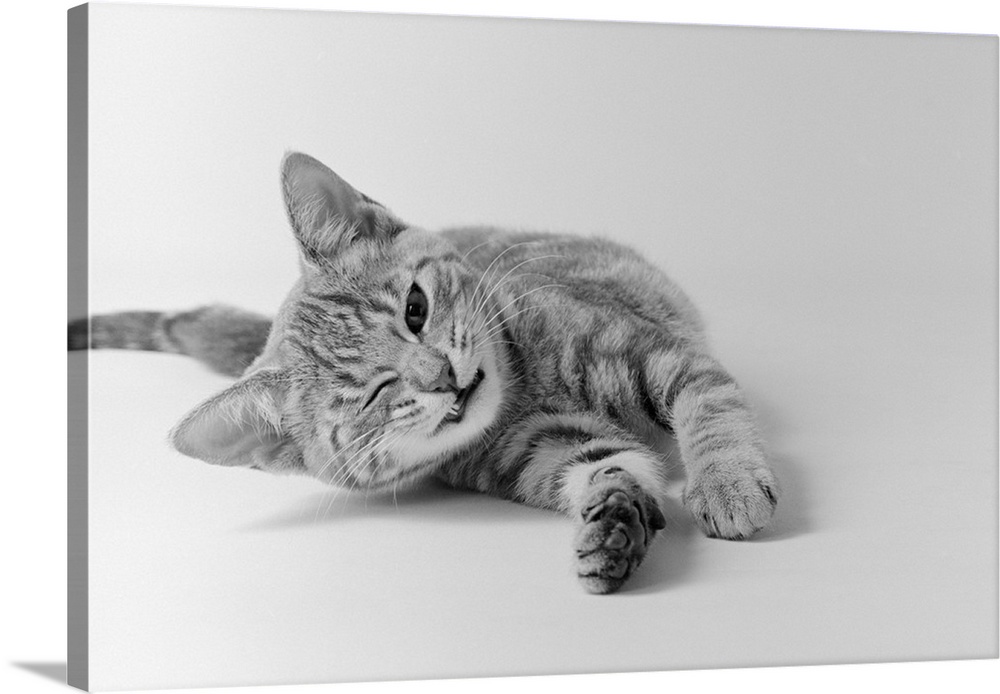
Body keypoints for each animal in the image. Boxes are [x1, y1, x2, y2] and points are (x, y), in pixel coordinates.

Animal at [72, 151, 780, 592]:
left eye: (416, 310)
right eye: (375, 396)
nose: (441, 376)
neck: (522, 391)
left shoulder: (652, 348)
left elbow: (707, 402)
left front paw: (727, 482)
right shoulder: (538, 450)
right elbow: (609, 466)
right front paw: (613, 529)